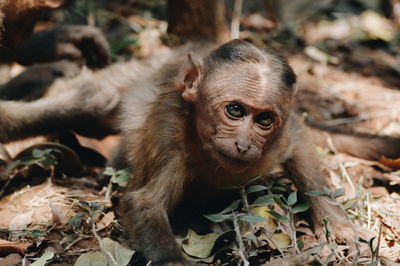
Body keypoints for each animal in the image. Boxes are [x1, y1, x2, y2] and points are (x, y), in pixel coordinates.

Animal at [117, 40, 354, 266]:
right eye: (235, 110)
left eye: (264, 120)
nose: (243, 145)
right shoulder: (168, 137)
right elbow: (145, 201)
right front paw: (172, 261)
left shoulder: (279, 140)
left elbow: (301, 139)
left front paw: (333, 221)